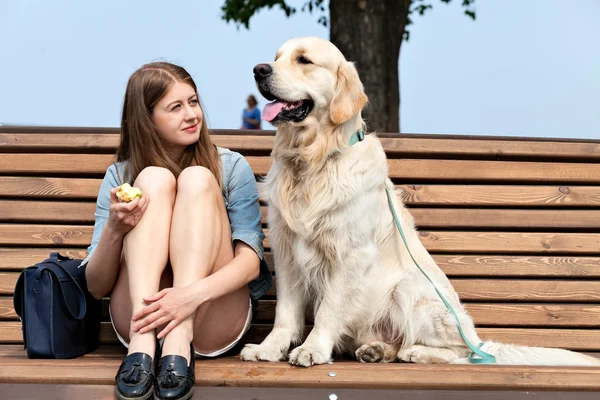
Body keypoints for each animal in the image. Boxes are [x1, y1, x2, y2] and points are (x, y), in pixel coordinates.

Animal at [240, 36, 600, 366]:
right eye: (277, 57)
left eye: (304, 60)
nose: (258, 69)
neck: (314, 160)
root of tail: (477, 339)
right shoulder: (288, 251)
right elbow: (286, 313)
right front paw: (269, 349)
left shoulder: (351, 253)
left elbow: (330, 308)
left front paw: (312, 349)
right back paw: (377, 350)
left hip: (408, 289)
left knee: (459, 352)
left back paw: (416, 352)